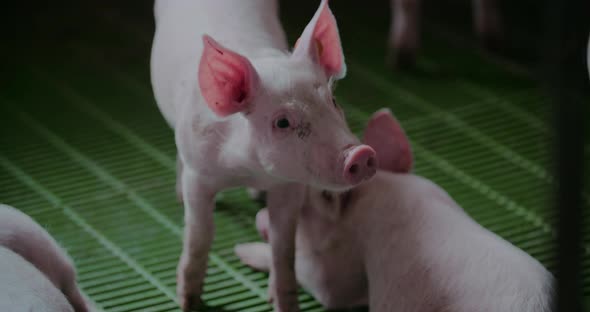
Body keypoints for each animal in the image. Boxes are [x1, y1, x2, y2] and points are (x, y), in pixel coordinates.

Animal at [149, 1, 380, 310]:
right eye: (281, 122)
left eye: (333, 101)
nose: (360, 154)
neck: (248, 169)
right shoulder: (198, 174)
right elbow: (200, 236)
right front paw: (188, 302)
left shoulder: (290, 185)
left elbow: (284, 247)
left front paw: (283, 302)